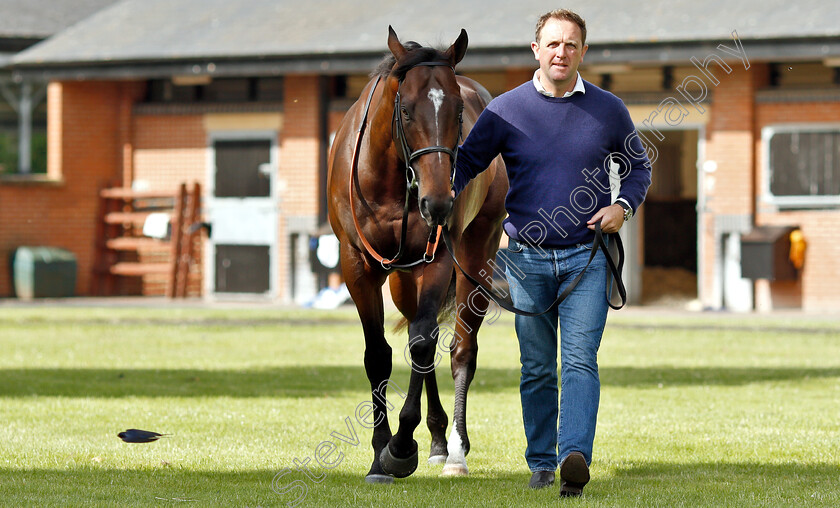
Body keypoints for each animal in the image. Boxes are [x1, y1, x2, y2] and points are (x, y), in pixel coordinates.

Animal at [326, 25, 506, 482]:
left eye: (459, 111)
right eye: (405, 110)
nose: (439, 202)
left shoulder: (438, 259)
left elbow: (425, 346)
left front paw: (401, 445)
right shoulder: (357, 265)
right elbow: (379, 355)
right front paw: (379, 454)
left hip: (475, 256)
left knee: (460, 348)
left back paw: (454, 448)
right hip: (404, 277)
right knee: (417, 332)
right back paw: (439, 438)